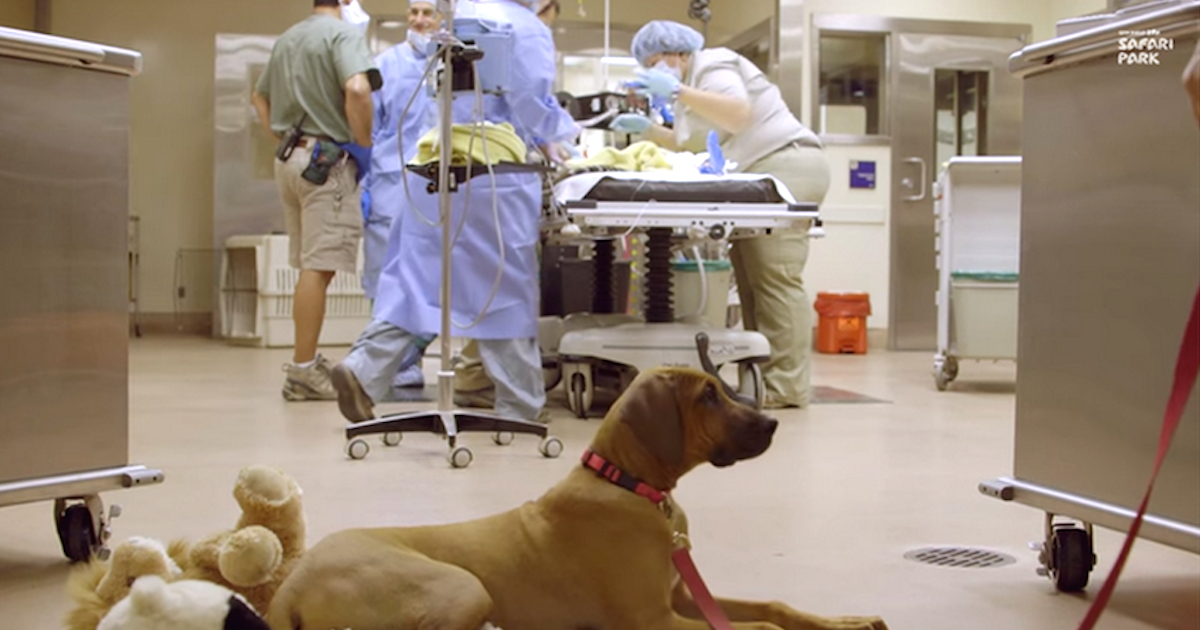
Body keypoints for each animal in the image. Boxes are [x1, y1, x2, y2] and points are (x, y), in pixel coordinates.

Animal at [267, 364, 888, 628]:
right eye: (709, 396)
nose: (772, 424)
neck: (628, 482)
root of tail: (288, 589)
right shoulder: (652, 621)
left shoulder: (680, 599)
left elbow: (773, 608)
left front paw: (847, 623)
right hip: (462, 587)